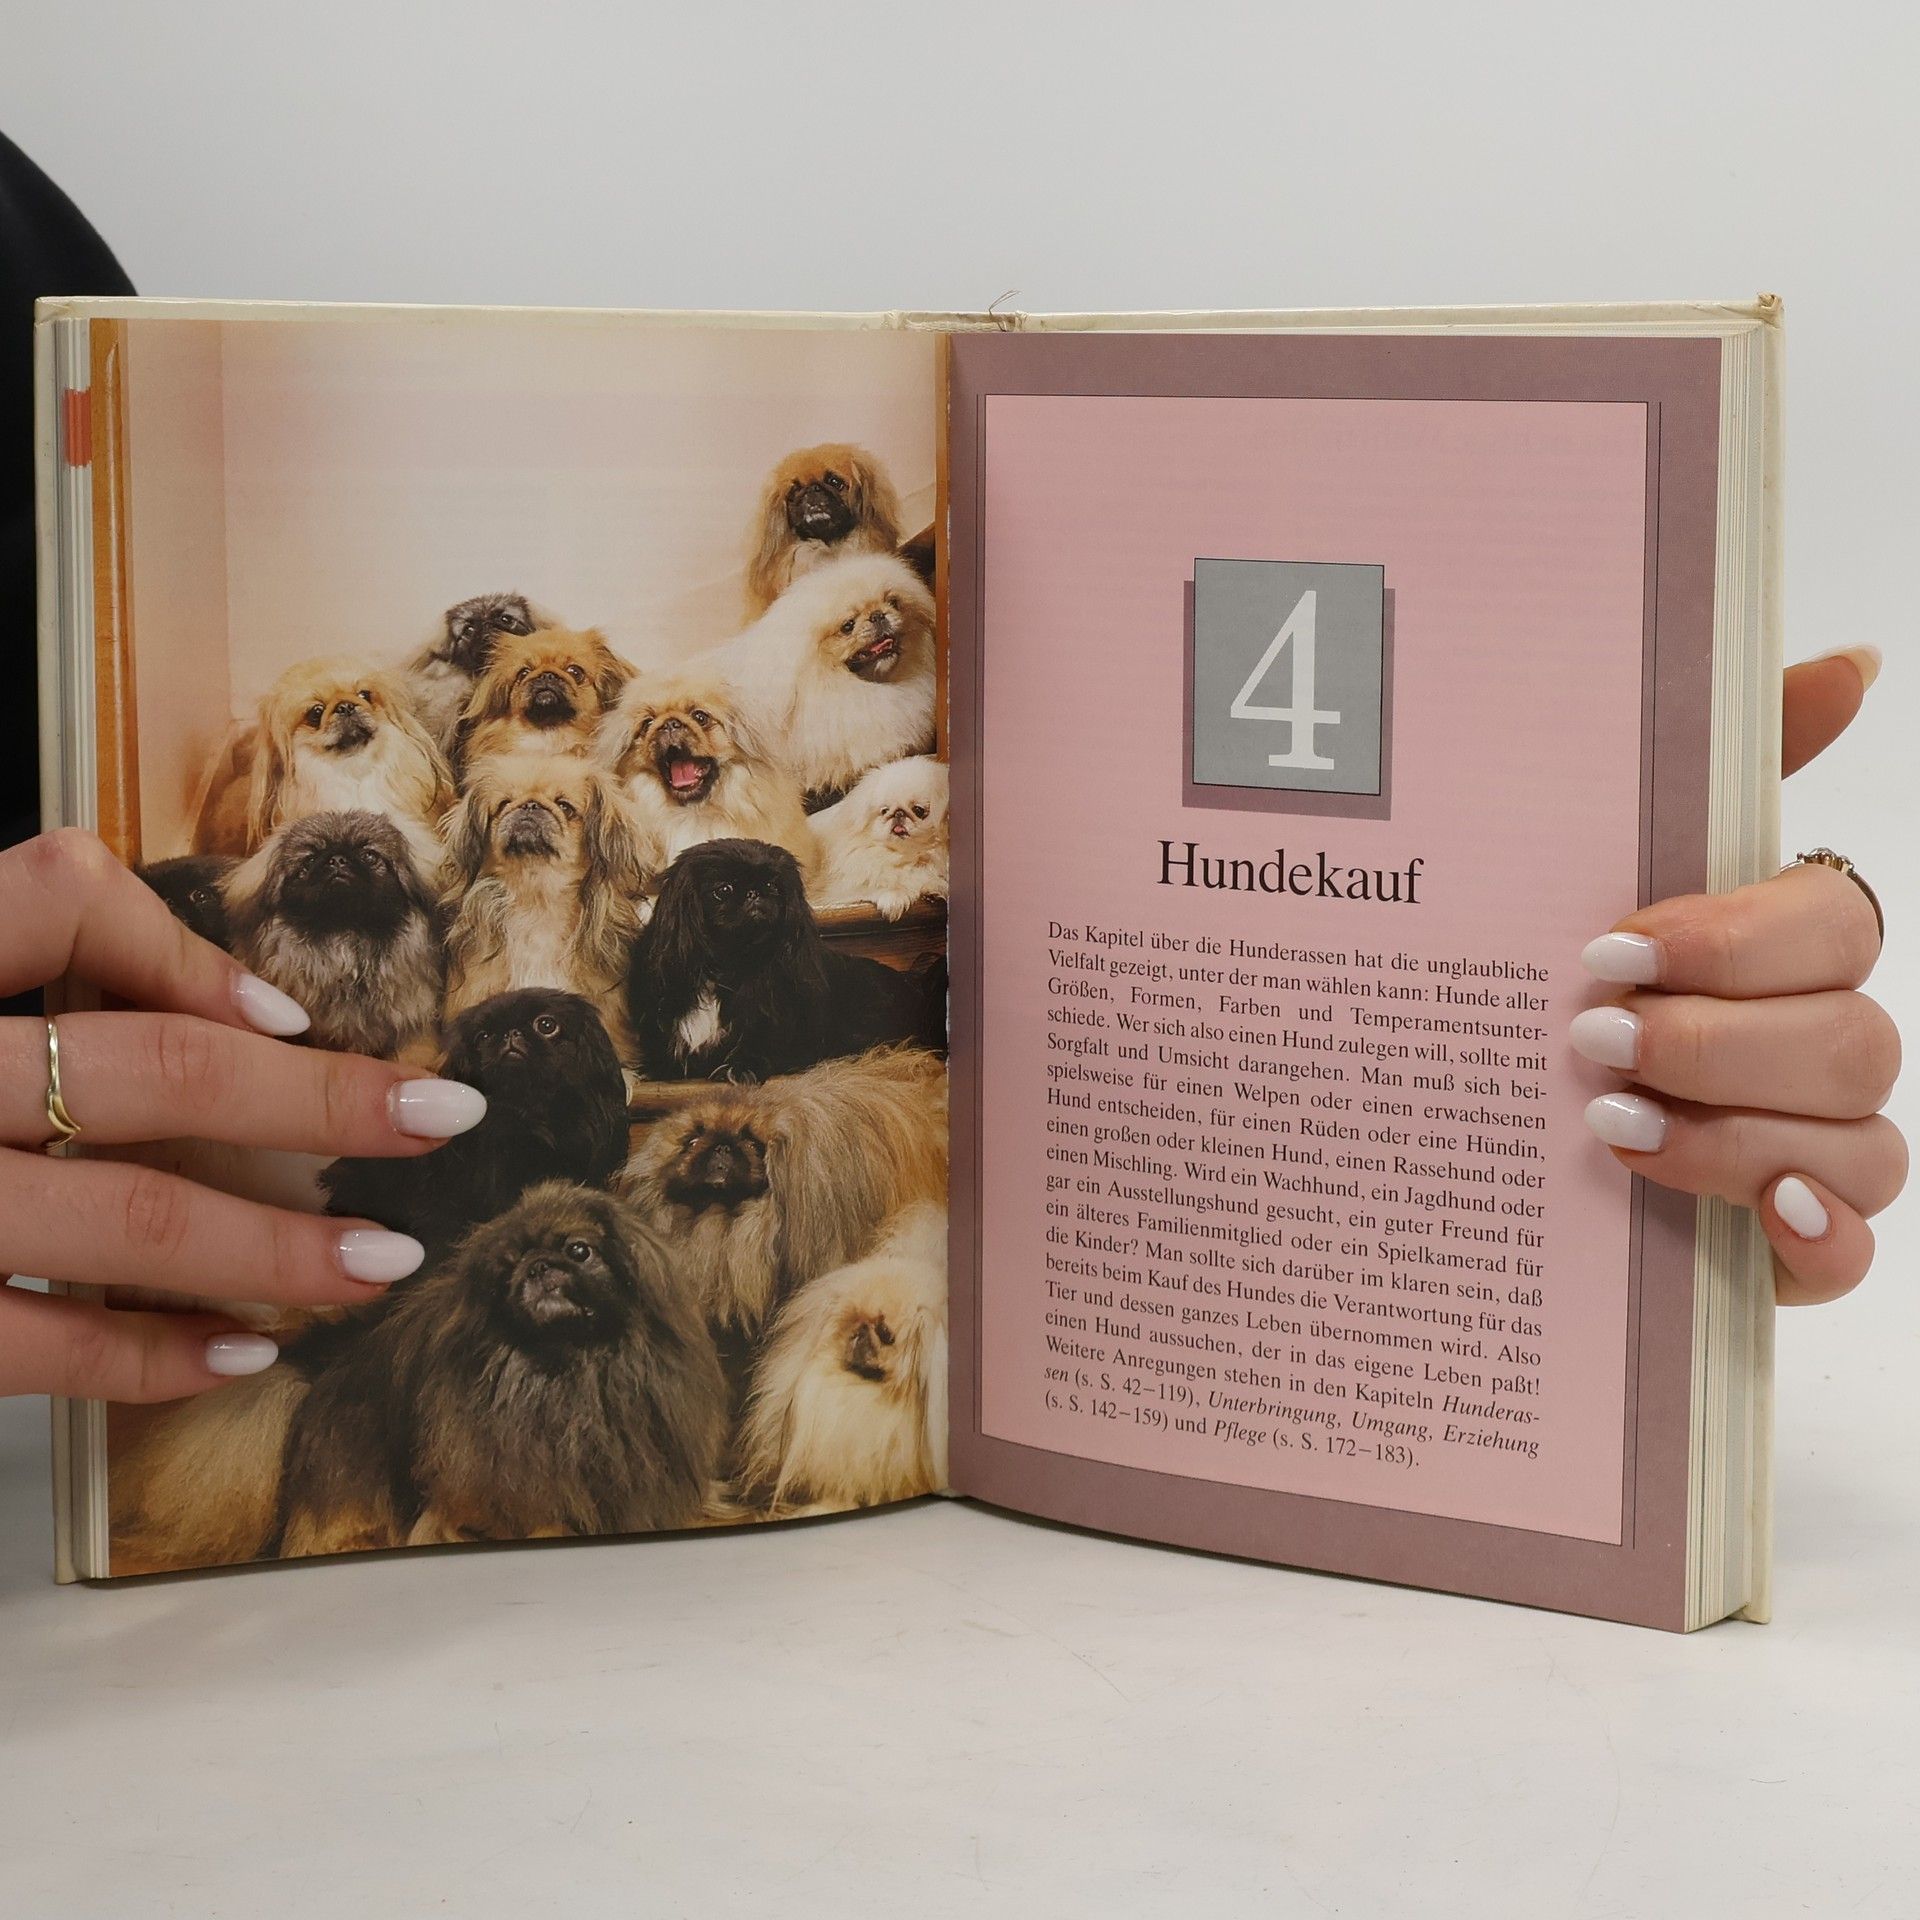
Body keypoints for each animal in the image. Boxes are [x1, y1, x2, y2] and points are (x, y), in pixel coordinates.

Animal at [623, 838, 944, 1084]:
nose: (754, 893)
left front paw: (741, 1068)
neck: (728, 967)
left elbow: (759, 1041)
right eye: (723, 890)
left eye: (773, 886)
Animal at [809, 755, 949, 919]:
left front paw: (936, 886)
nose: (898, 813)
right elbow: (871, 885)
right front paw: (894, 897)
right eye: (884, 811)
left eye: (918, 810)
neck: (907, 856)